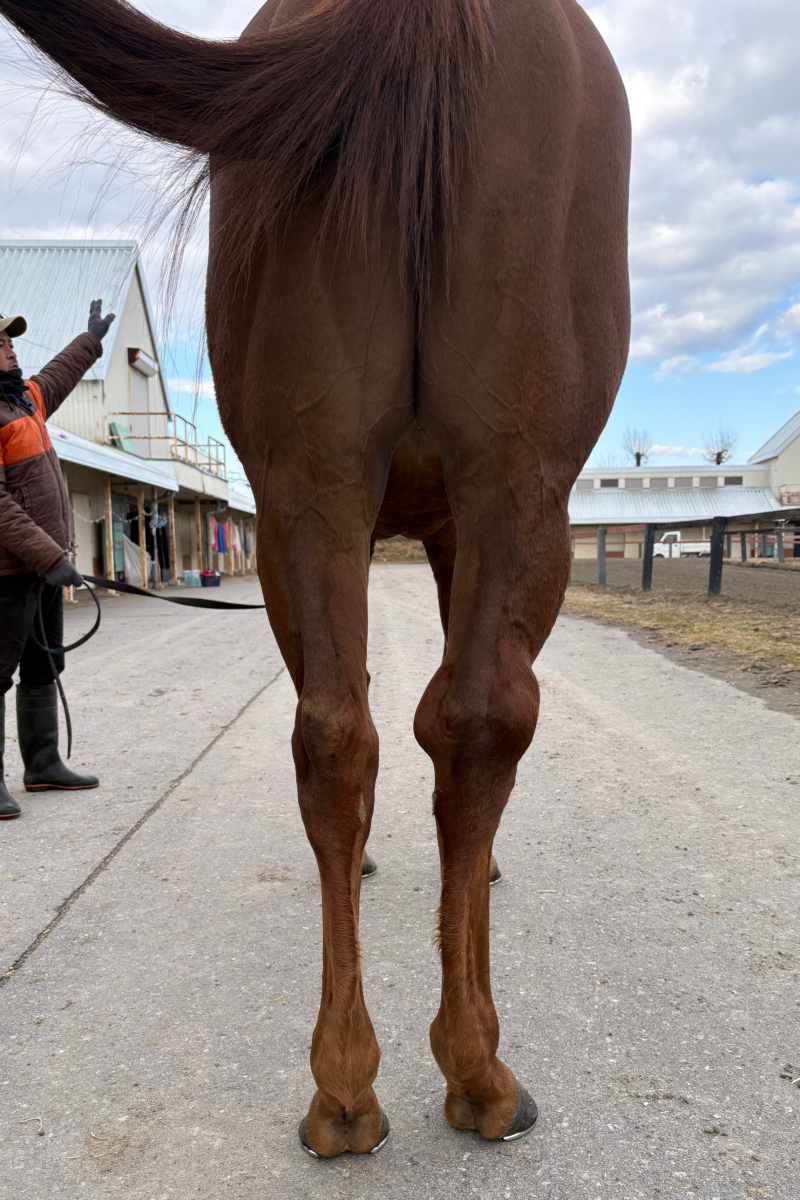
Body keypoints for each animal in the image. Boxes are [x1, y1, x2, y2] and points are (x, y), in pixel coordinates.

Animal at [0, 0, 630, 1157]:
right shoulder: (458, 526)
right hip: (519, 485)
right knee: (477, 717)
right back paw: (477, 1073)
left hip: (307, 486)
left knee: (336, 732)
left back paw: (342, 1089)